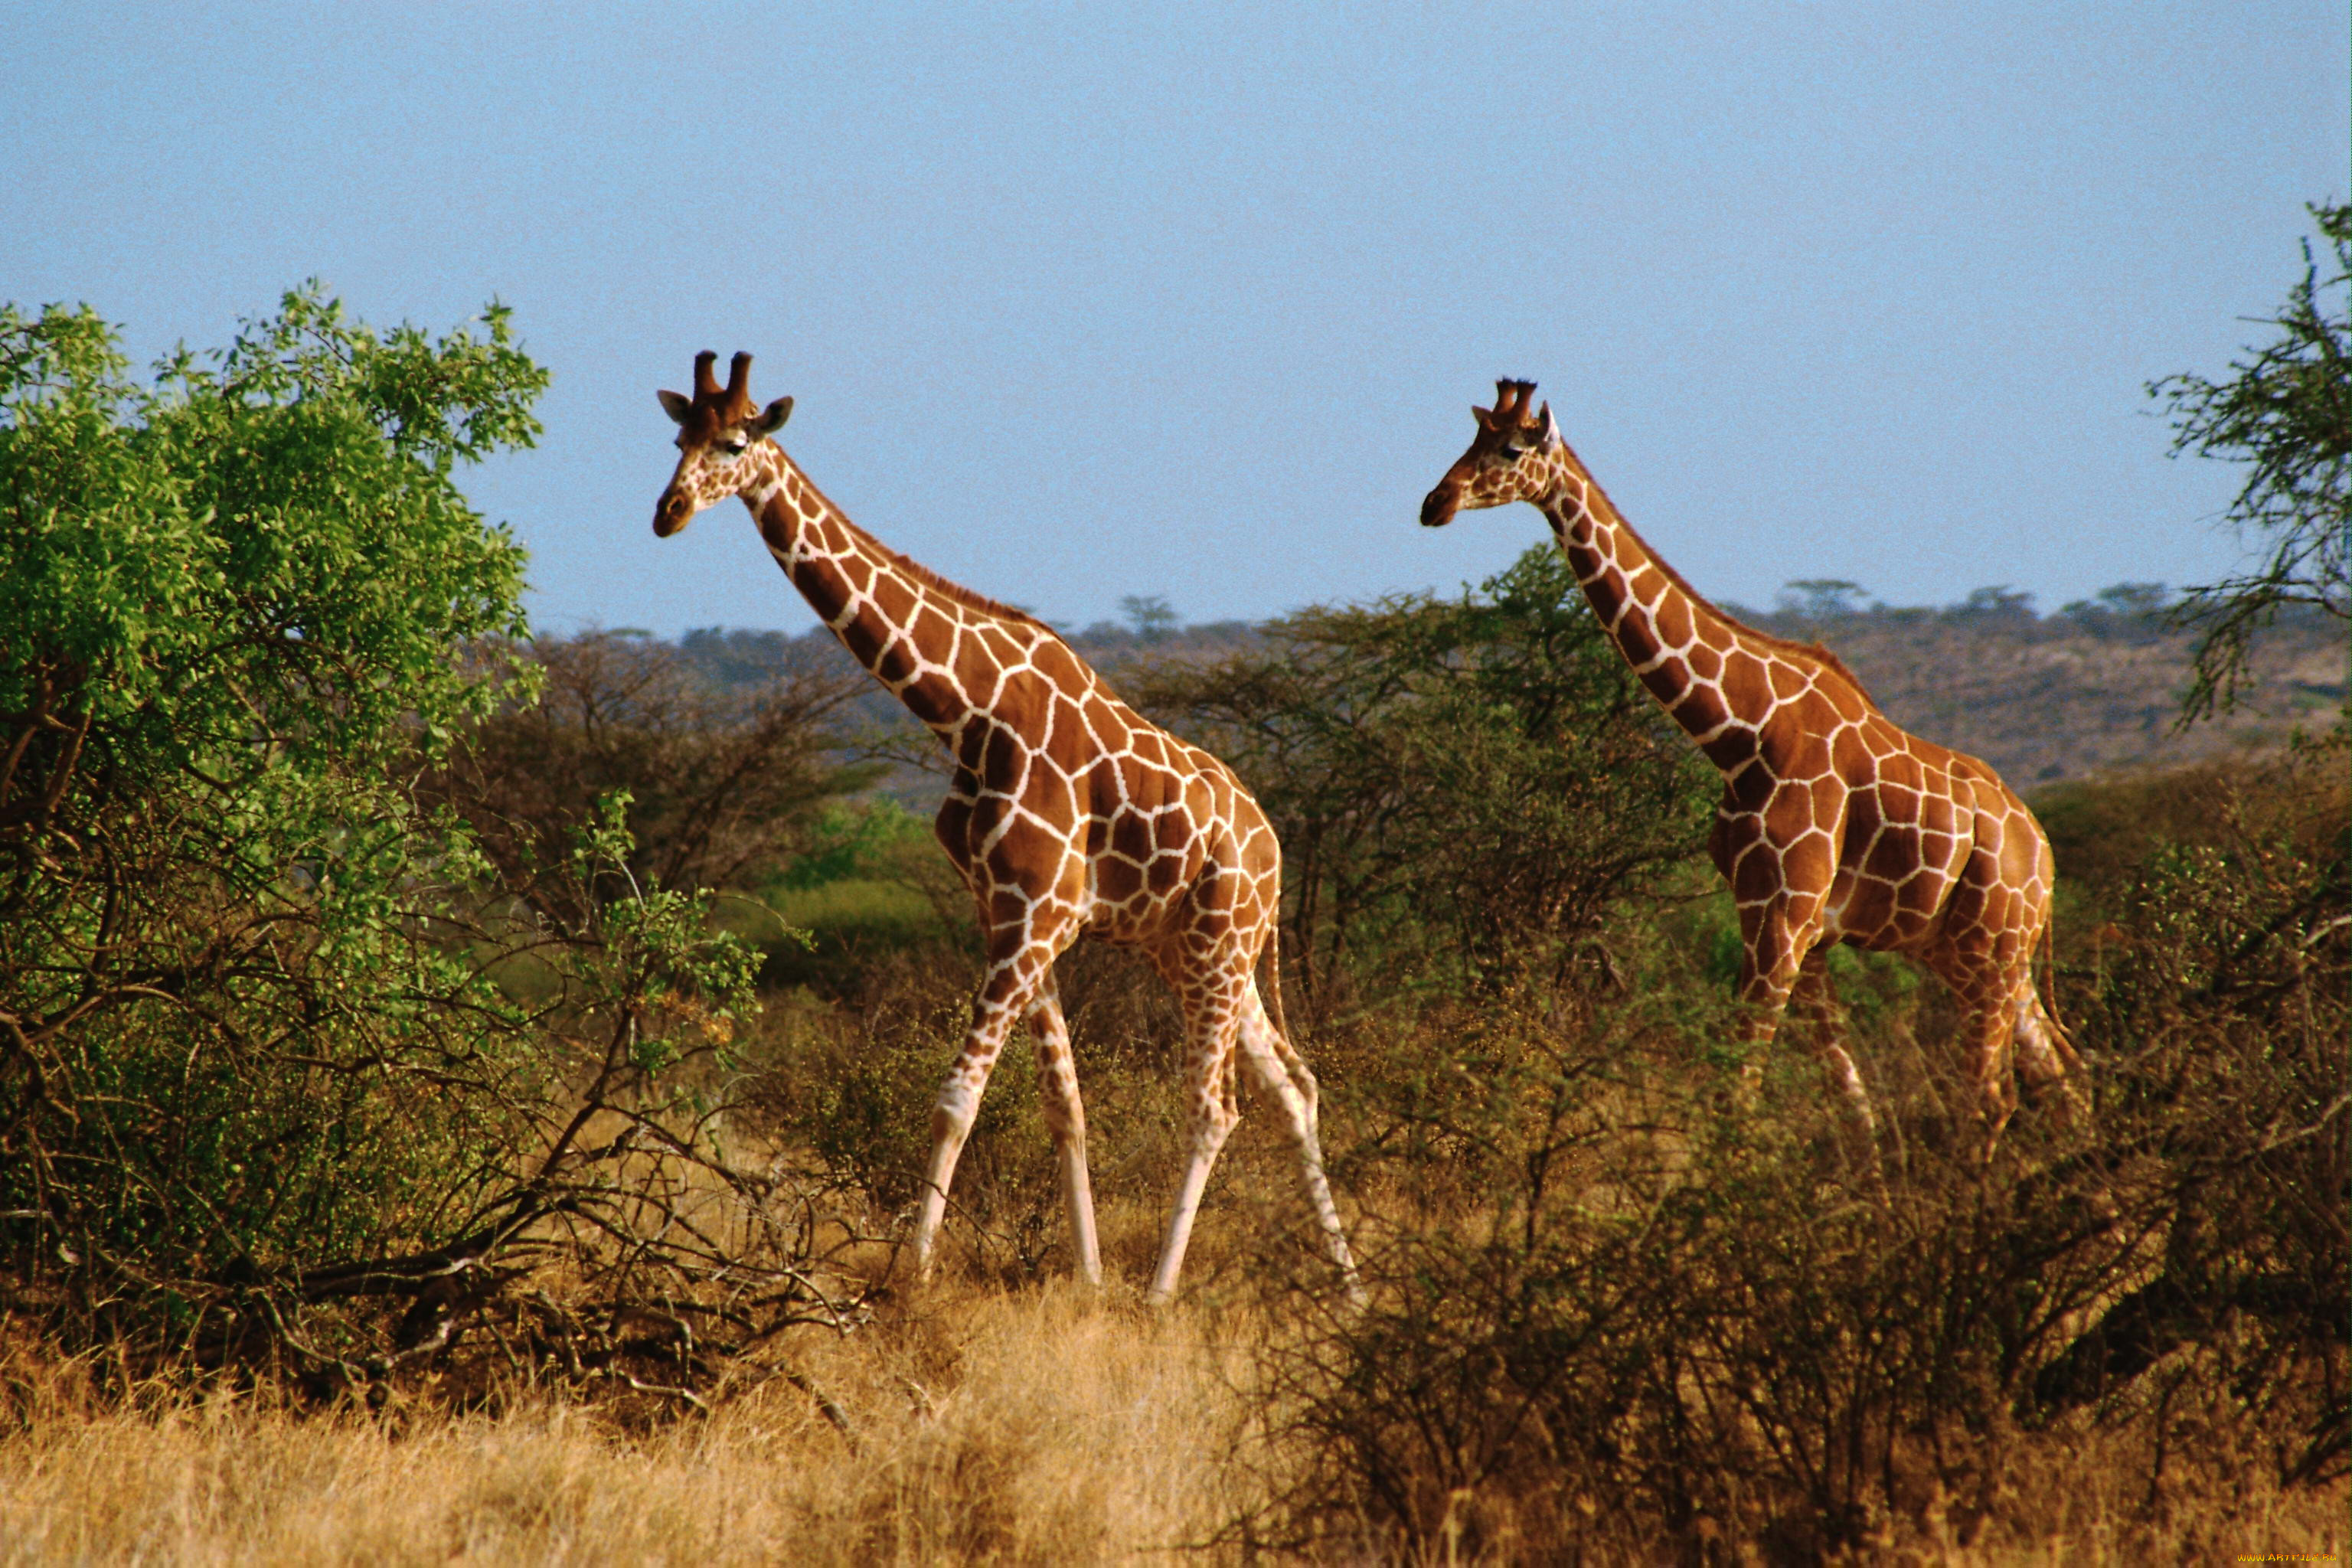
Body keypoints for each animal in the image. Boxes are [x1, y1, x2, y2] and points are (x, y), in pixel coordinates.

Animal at [658, 352, 1364, 1297]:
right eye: (677, 438)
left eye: (734, 442)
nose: (666, 513)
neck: (966, 711)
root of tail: (1275, 848)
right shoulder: (1013, 913)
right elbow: (1065, 1105)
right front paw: (1088, 1277)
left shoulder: (1035, 918)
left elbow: (957, 1097)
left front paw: (912, 1277)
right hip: (1206, 949)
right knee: (1294, 1086)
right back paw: (1349, 1282)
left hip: (1218, 945)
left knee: (1216, 1106)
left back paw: (1162, 1291)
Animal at [1411, 381, 2079, 1171]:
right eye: (1472, 439)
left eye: (1511, 449)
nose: (1435, 502)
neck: (1740, 733)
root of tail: (2042, 853)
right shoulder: (1789, 926)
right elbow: (1852, 1107)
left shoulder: (1784, 918)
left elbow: (1740, 1089)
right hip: (1975, 954)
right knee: (2063, 1082)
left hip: (1991, 950)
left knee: (1993, 1099)